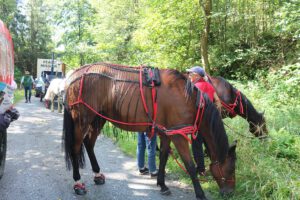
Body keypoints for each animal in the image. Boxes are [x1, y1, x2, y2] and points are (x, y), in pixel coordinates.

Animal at [63, 62, 237, 198]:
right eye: (231, 168)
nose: (230, 192)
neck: (185, 97)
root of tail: (75, 74)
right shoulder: (178, 136)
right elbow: (190, 165)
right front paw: (200, 194)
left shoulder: (167, 133)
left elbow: (164, 158)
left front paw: (162, 185)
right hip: (82, 120)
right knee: (75, 148)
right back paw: (78, 183)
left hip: (98, 119)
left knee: (89, 144)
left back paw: (97, 174)